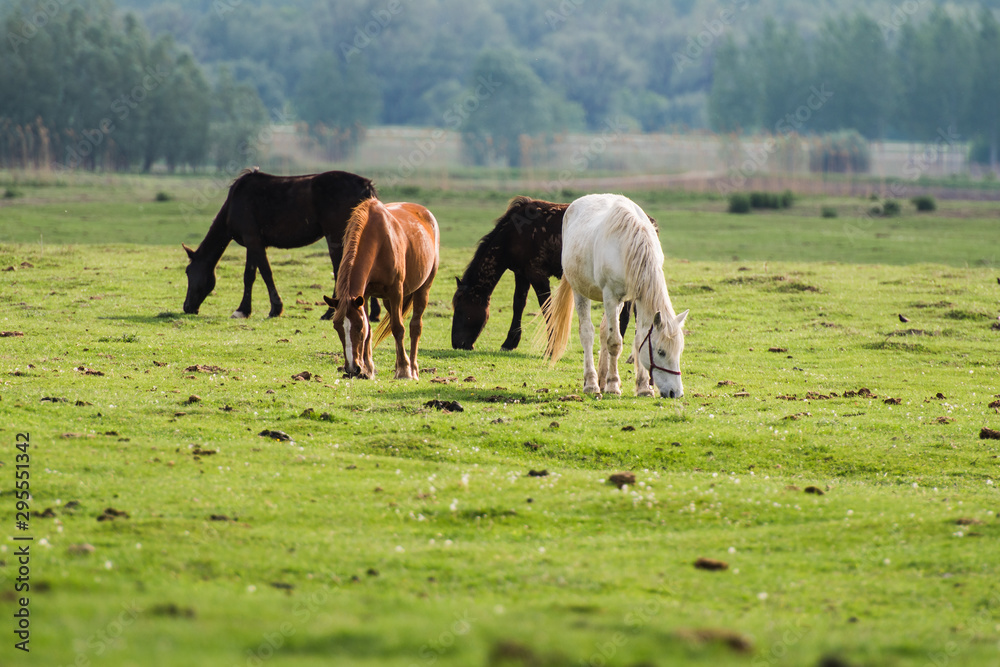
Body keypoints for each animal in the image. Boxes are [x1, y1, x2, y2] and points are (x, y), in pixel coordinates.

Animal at [182, 168, 381, 322]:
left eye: (188, 272)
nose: (187, 307)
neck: (234, 203)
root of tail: (365, 185)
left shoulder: (253, 241)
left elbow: (265, 273)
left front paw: (275, 309)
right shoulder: (252, 244)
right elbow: (249, 276)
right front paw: (243, 310)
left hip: (336, 237)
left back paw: (330, 312)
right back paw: (373, 313)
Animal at [323, 199, 439, 380]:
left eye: (358, 327)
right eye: (337, 327)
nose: (351, 369)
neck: (378, 241)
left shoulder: (396, 291)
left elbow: (398, 328)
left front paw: (404, 371)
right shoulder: (365, 295)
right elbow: (372, 330)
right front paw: (368, 369)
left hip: (423, 289)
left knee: (415, 327)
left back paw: (413, 368)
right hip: (387, 301)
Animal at [451, 196, 633, 351]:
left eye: (460, 309)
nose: (457, 344)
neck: (514, 233)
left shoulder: (537, 274)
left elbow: (546, 307)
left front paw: (551, 346)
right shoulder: (521, 274)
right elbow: (518, 304)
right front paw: (510, 342)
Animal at [543, 193, 688, 398]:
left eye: (679, 350)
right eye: (661, 352)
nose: (676, 392)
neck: (630, 245)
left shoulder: (636, 297)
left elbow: (637, 339)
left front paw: (643, 386)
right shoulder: (611, 296)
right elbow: (614, 343)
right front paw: (613, 385)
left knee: (604, 331)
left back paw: (602, 380)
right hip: (580, 291)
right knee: (587, 333)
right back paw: (592, 383)